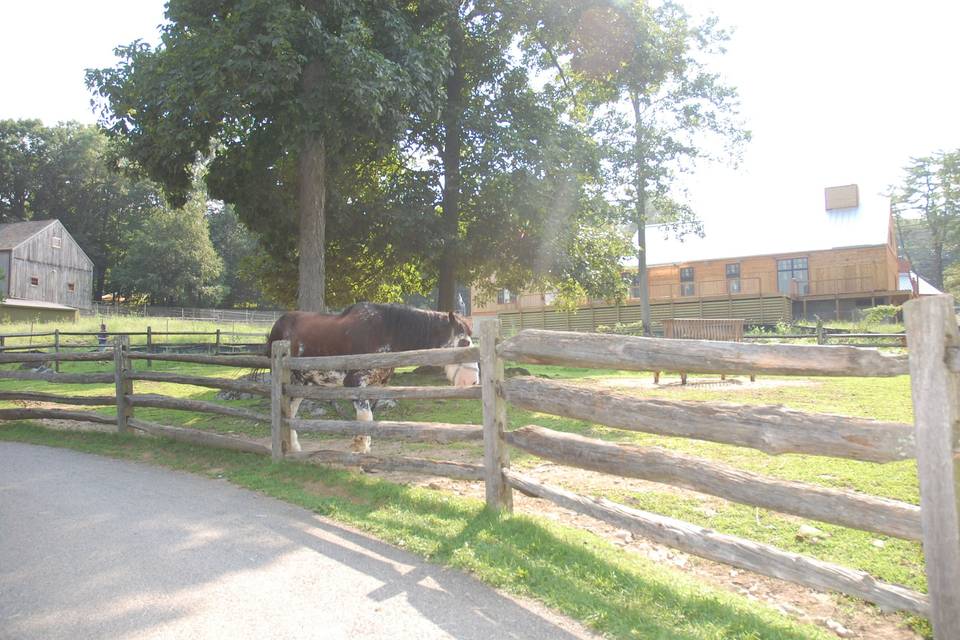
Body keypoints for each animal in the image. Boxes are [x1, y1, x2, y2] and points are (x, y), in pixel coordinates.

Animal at [266, 302, 480, 452]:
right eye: (463, 342)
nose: (472, 381)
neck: (385, 333)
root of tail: (279, 324)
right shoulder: (353, 383)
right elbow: (365, 416)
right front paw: (360, 447)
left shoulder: (377, 386)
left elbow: (369, 419)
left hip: (301, 383)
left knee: (291, 412)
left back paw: (293, 447)